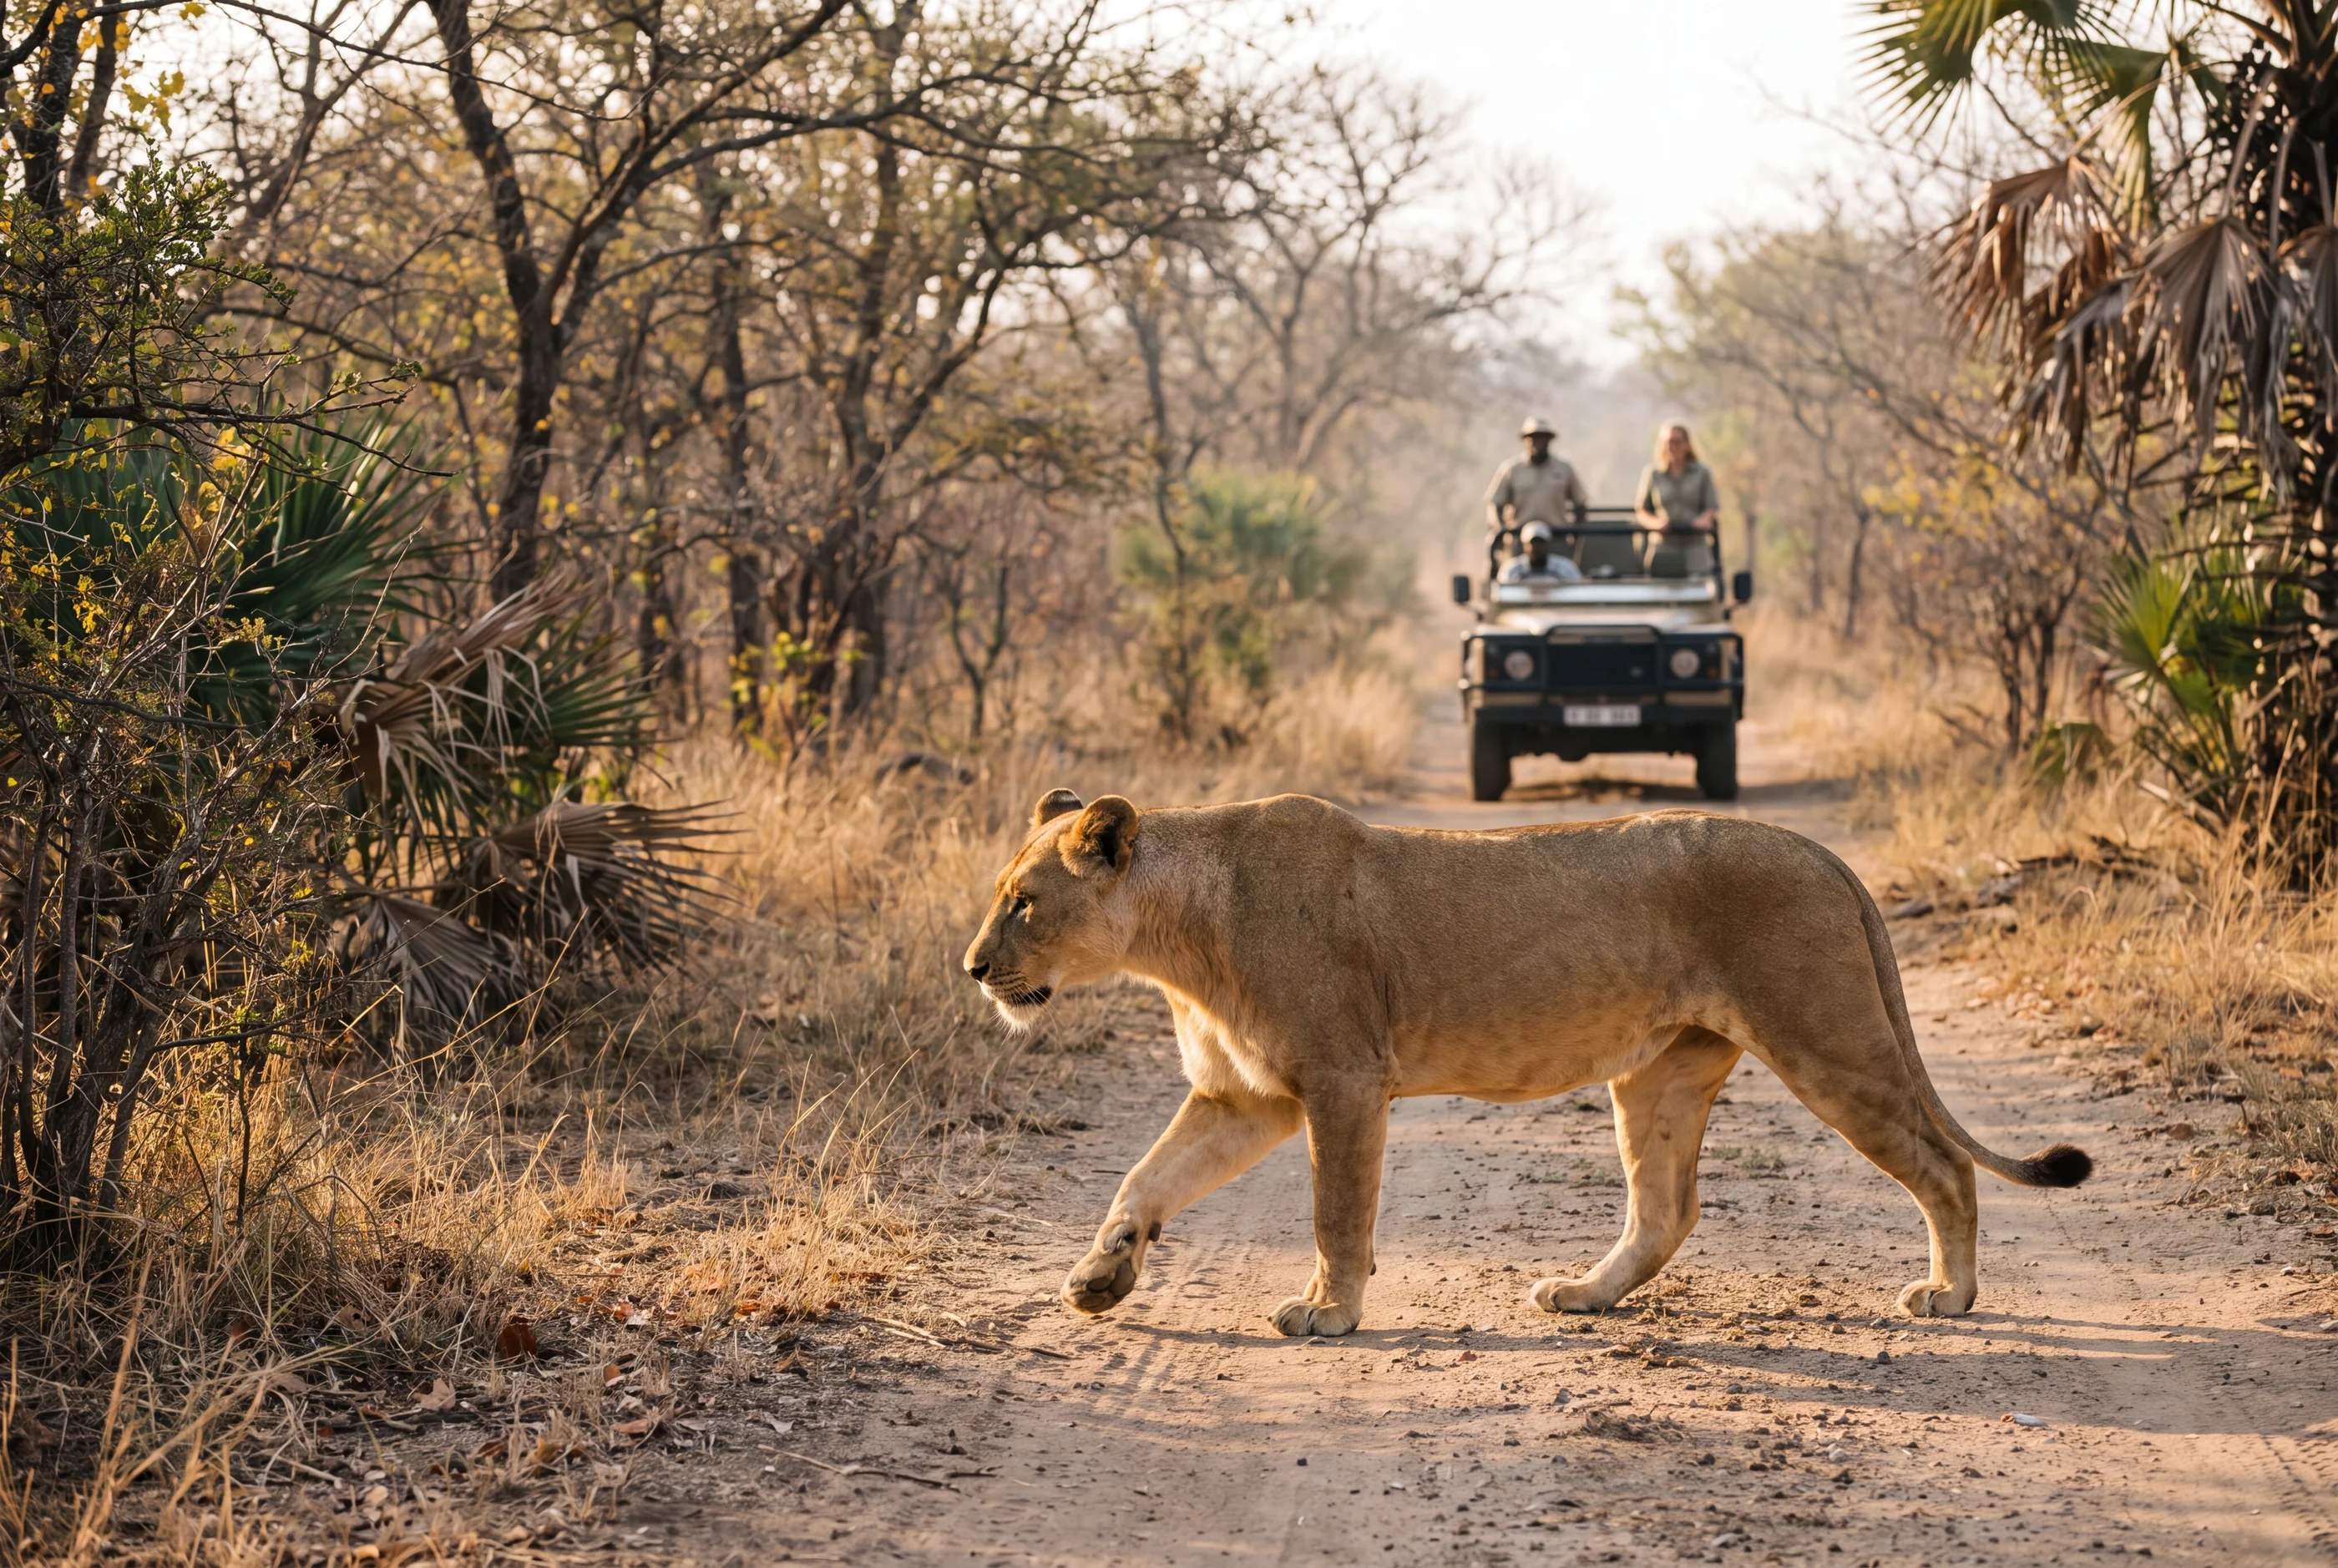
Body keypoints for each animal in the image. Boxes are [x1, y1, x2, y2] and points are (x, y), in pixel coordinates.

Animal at [960, 790, 2091, 1338]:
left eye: (1023, 903)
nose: (971, 968)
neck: (1176, 942)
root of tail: (1821, 853)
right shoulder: (1244, 1097)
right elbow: (1144, 1179)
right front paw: (1098, 1280)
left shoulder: (1340, 1081)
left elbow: (1337, 1213)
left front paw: (1329, 1313)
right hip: (1661, 1073)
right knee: (1665, 1210)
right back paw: (1584, 1296)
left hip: (1826, 1036)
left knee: (1941, 1165)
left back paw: (1948, 1296)